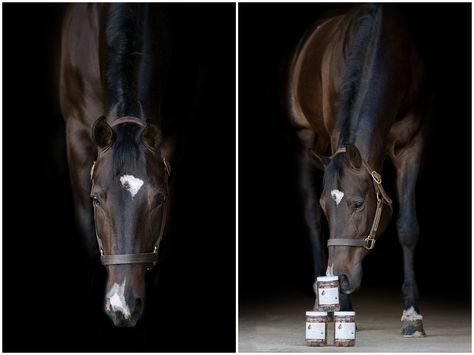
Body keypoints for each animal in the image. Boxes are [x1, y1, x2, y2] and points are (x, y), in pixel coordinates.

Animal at [286, 4, 432, 338]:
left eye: (358, 204)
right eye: (327, 206)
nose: (339, 279)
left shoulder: (412, 143)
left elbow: (407, 227)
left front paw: (412, 314)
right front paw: (342, 305)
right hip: (303, 139)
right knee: (311, 222)